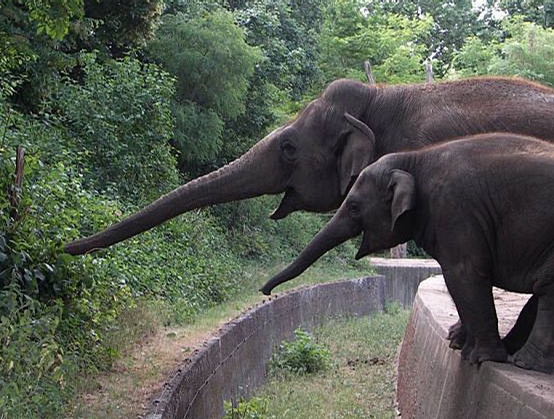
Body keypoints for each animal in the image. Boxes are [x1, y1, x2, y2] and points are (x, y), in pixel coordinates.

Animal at [260, 134, 552, 374]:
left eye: (354, 207)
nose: (265, 292)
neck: (416, 158)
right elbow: (464, 280)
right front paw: (455, 341)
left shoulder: (455, 209)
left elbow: (463, 273)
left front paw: (477, 358)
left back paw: (523, 363)